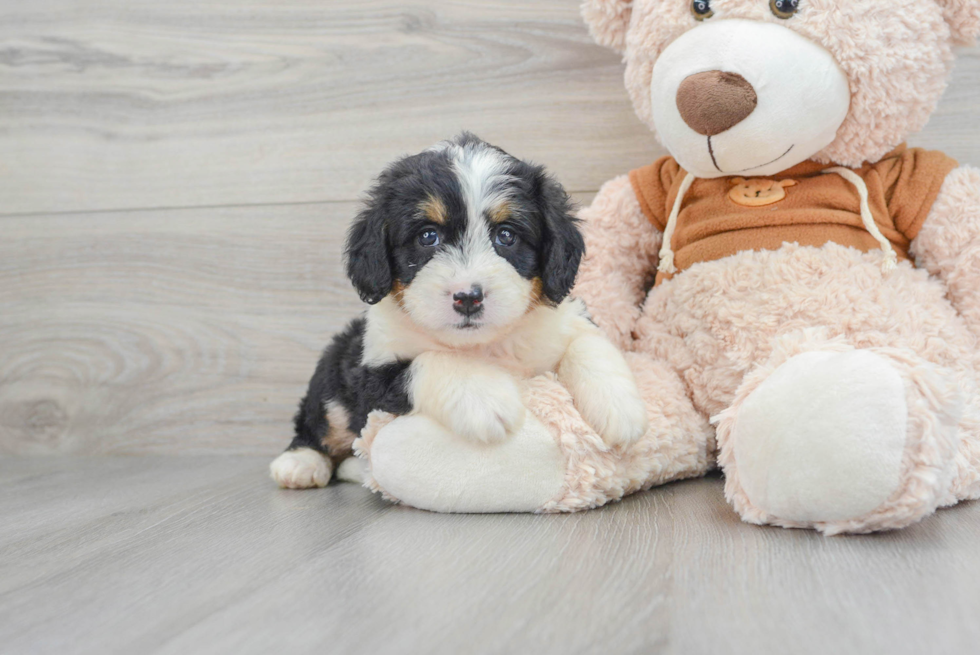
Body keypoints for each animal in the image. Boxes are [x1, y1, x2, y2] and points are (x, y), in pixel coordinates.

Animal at [272, 133, 648, 490]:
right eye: (428, 236)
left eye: (506, 235)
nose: (468, 297)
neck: (484, 345)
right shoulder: (373, 373)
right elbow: (431, 361)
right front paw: (486, 399)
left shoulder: (565, 319)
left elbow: (588, 343)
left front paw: (621, 408)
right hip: (333, 375)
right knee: (319, 423)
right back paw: (300, 464)